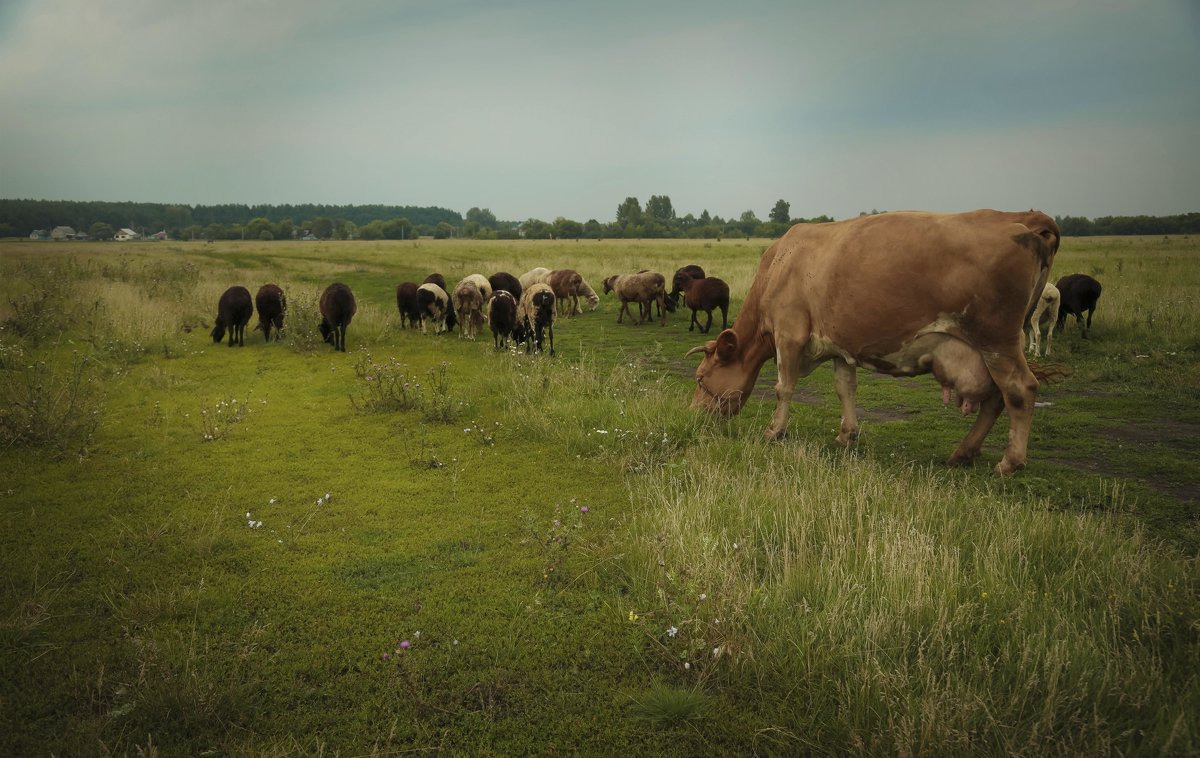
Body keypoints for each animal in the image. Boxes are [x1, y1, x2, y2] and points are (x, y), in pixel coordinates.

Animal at [686, 209, 1060, 477]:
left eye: (701, 379)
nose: (692, 415)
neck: (780, 264)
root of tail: (1024, 219)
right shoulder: (838, 344)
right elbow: (845, 387)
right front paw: (846, 435)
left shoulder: (789, 334)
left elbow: (784, 387)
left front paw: (774, 431)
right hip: (992, 347)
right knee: (996, 398)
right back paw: (963, 452)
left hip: (997, 341)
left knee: (1019, 390)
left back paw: (1010, 462)